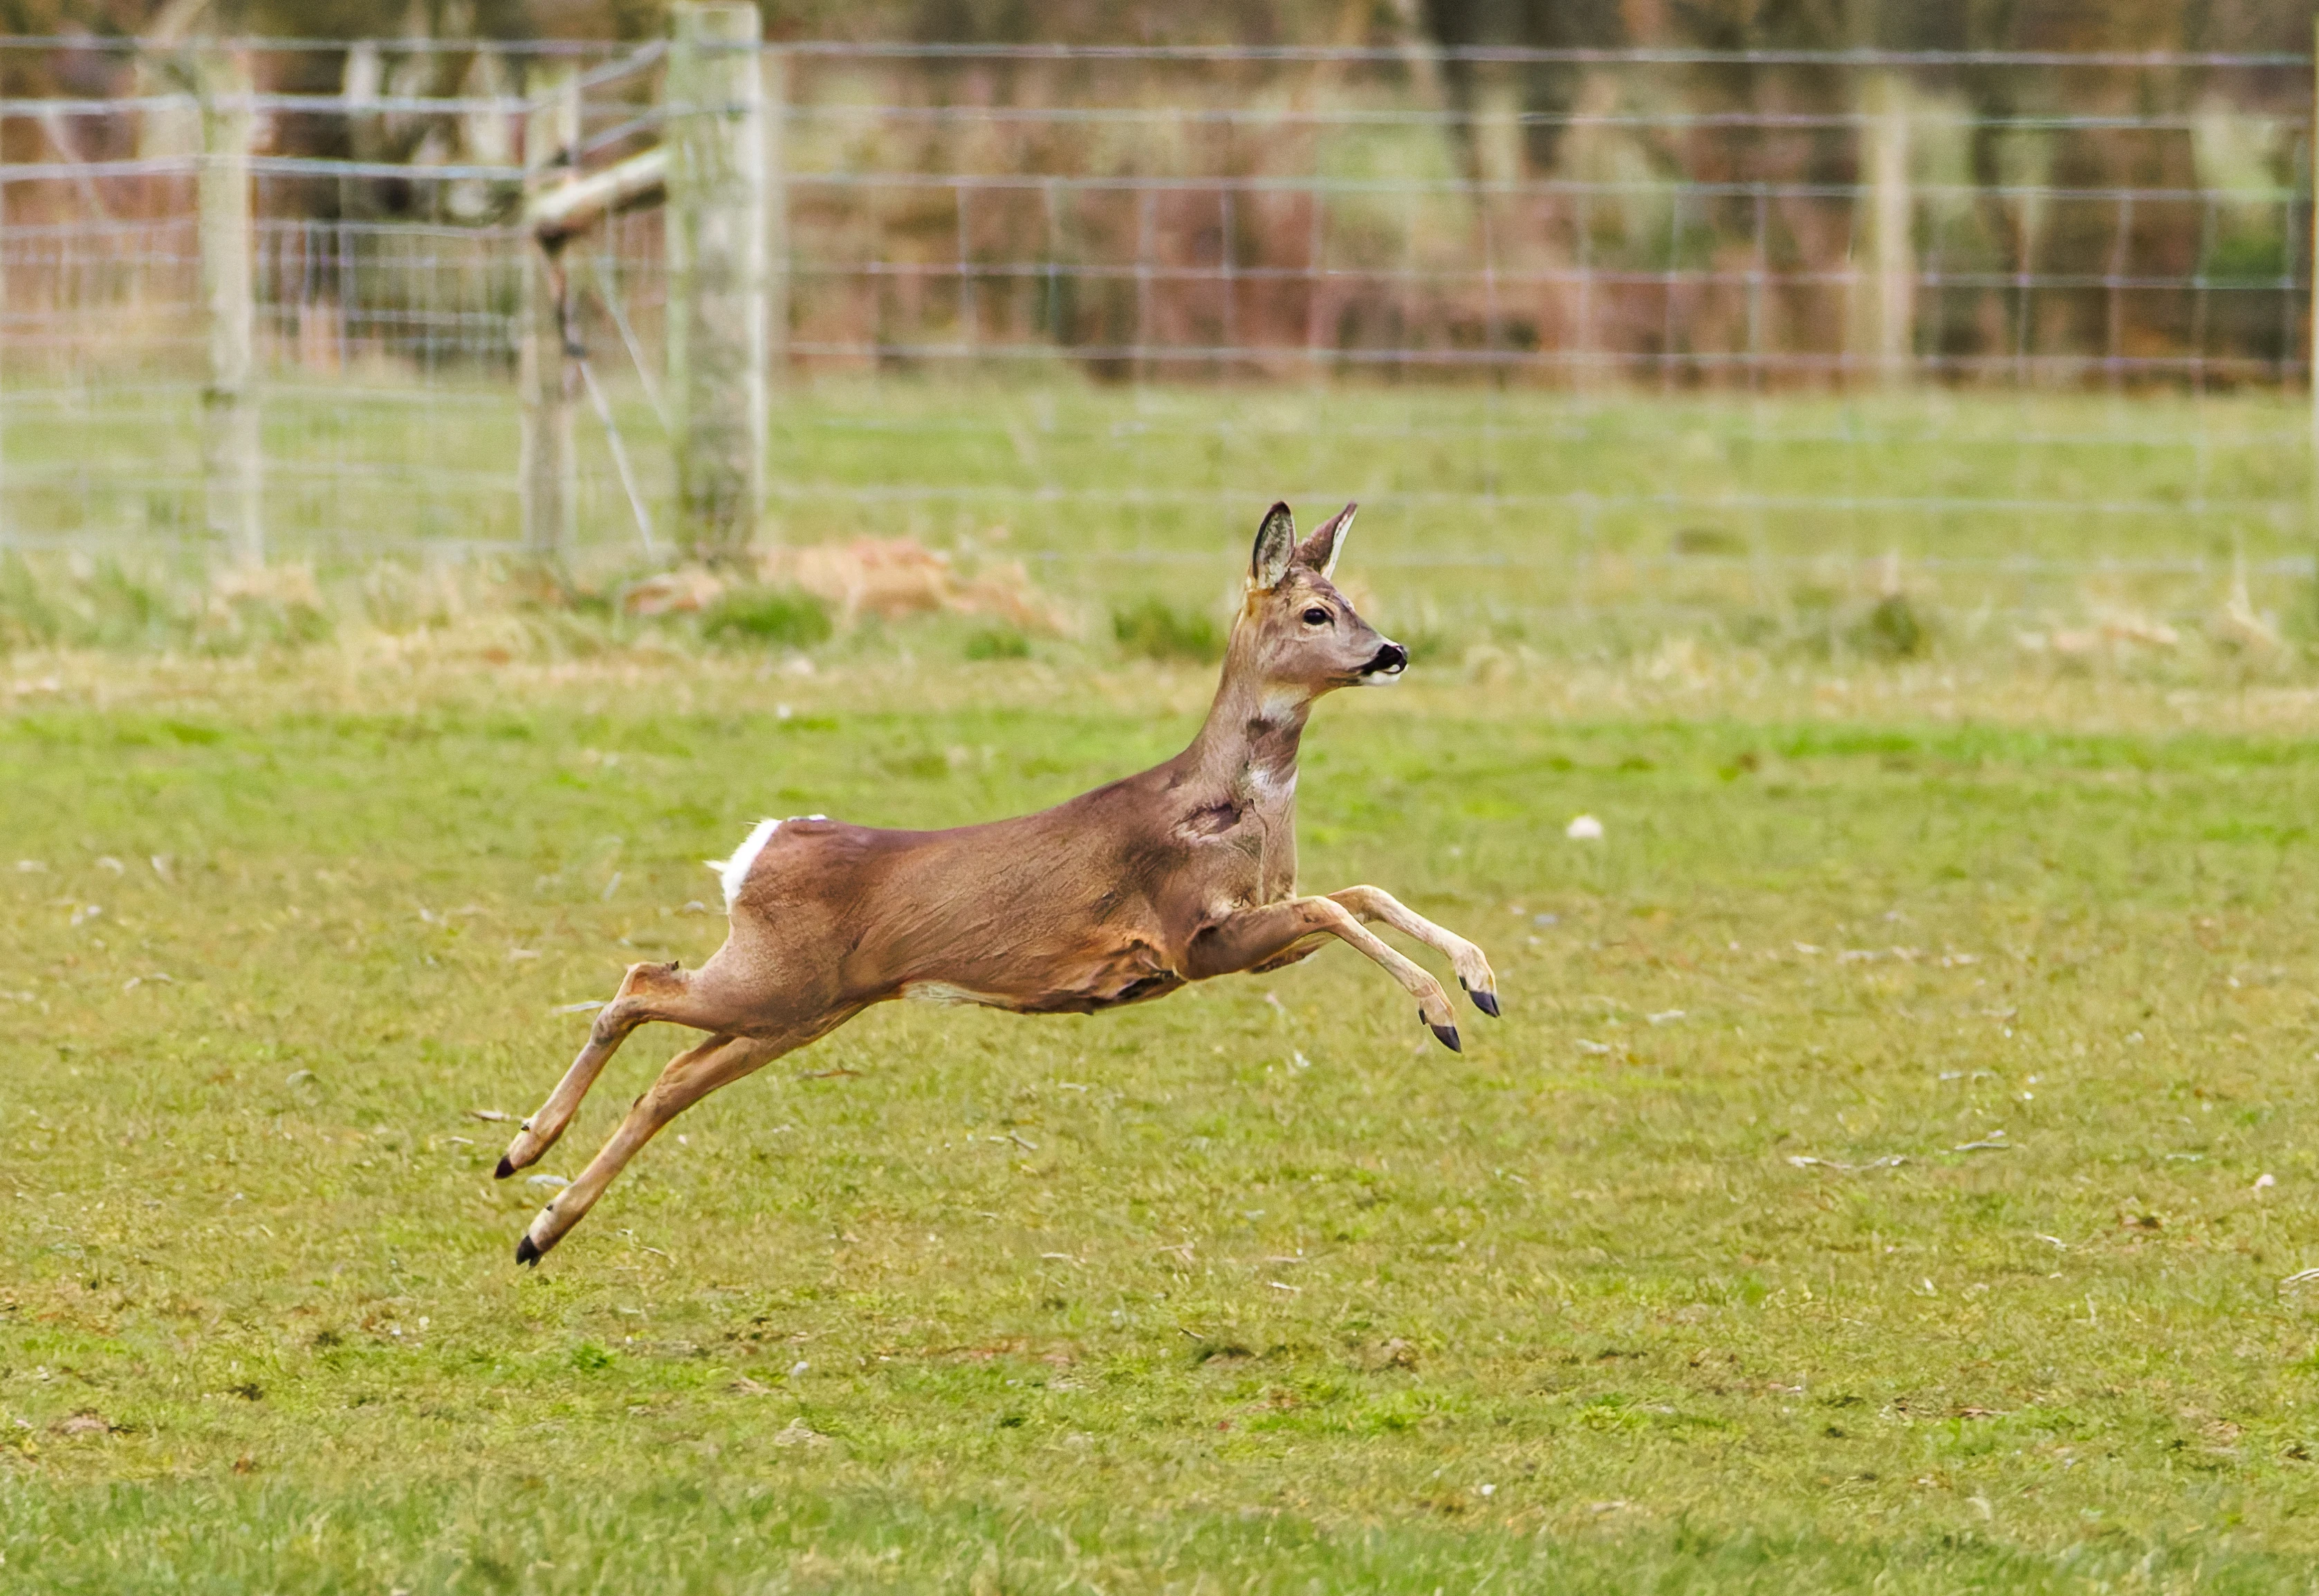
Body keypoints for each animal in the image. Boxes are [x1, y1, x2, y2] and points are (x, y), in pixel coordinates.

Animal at [495, 501, 1500, 1263]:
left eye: (1348, 600)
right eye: (1316, 614)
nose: (1392, 652)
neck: (1233, 808)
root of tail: (756, 851)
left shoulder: (1252, 929)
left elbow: (1359, 895)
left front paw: (1478, 981)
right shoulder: (1189, 934)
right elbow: (1337, 903)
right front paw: (1441, 1011)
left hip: (804, 1006)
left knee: (669, 1077)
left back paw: (536, 1227)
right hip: (776, 985)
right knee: (639, 984)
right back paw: (521, 1152)